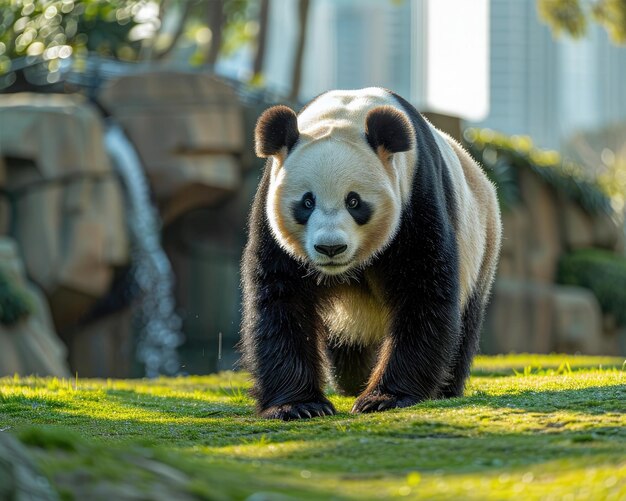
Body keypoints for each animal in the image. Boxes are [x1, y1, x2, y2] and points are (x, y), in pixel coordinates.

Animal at [239, 87, 502, 418]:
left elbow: (423, 290)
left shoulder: (416, 196)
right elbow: (282, 299)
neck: (346, 113)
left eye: (354, 201)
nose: (330, 247)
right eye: (307, 202)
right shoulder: (270, 212)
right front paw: (298, 405)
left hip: (482, 242)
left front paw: (384, 398)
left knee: (466, 318)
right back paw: (353, 378)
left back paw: (444, 387)